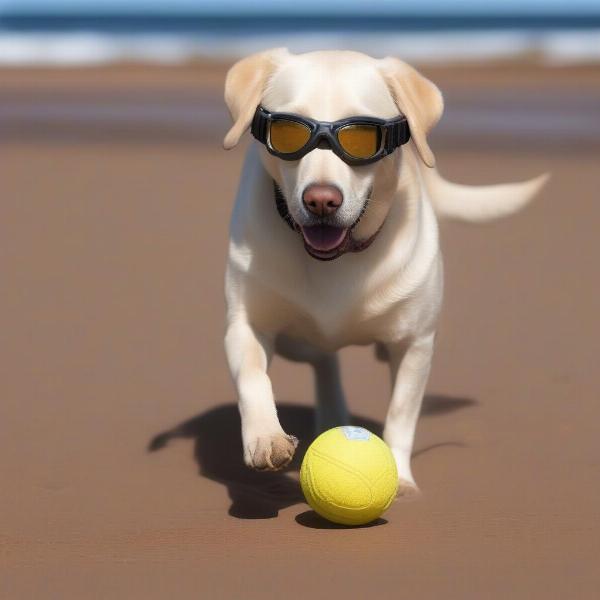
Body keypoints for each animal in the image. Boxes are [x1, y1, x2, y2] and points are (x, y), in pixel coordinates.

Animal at [221, 48, 548, 496]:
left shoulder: (415, 344)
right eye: (287, 133)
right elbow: (254, 379)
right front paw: (265, 439)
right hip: (295, 342)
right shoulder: (246, 326)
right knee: (323, 360)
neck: (337, 259)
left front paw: (400, 477)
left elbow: (401, 413)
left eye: (361, 137)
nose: (321, 200)